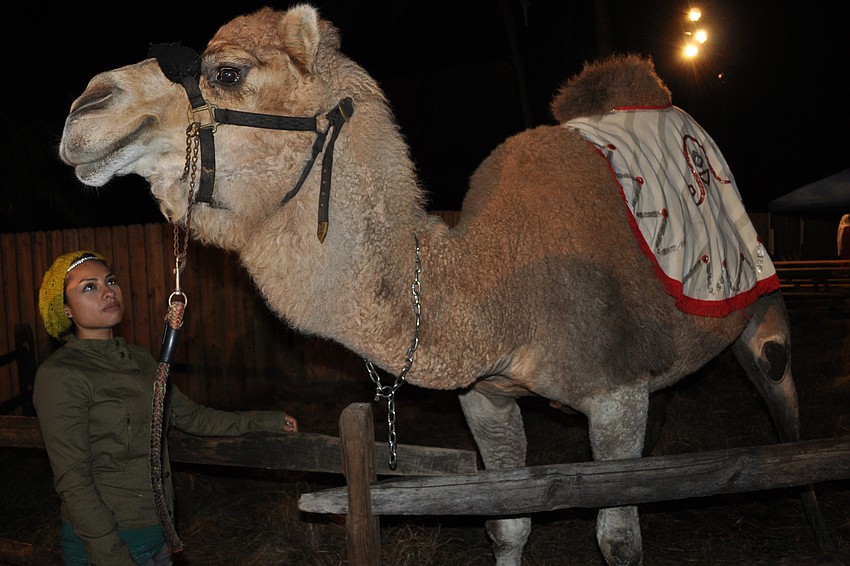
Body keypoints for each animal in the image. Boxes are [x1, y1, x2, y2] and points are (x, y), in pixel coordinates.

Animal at [58, 5, 832, 565]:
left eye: (227, 71)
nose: (84, 107)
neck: (494, 284)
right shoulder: (486, 395)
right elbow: (508, 525)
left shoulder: (614, 392)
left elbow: (617, 541)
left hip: (757, 303)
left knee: (783, 399)